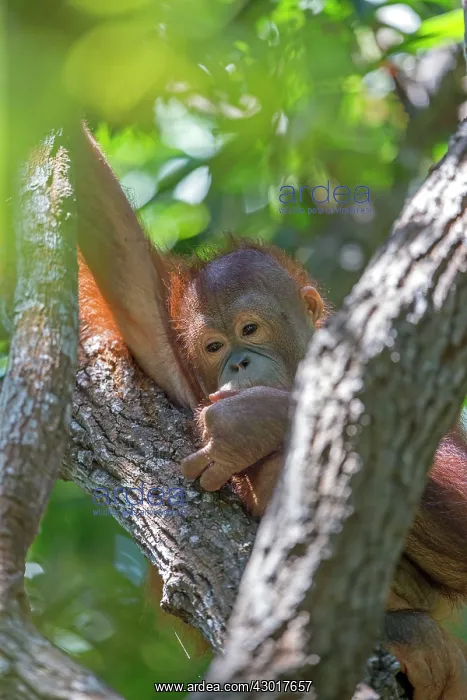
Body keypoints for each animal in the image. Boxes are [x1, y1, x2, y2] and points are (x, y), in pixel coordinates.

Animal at [76, 125, 467, 700]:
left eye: (250, 329)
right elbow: (115, 247)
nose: (239, 361)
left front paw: (250, 423)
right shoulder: (176, 364)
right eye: (214, 347)